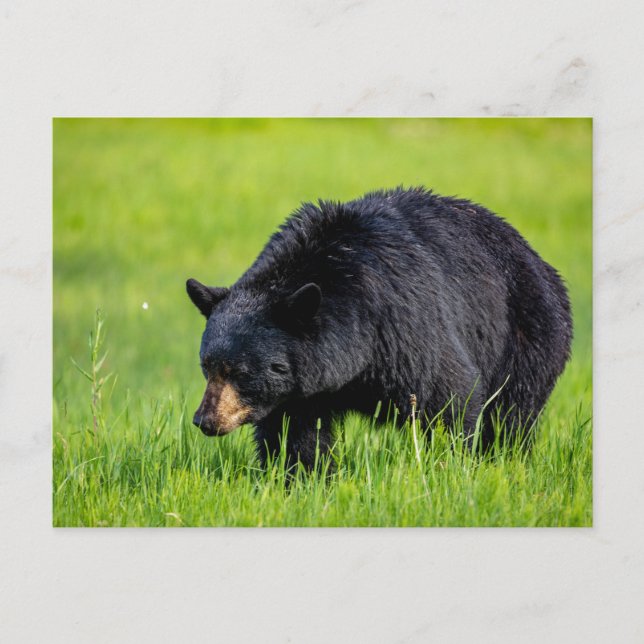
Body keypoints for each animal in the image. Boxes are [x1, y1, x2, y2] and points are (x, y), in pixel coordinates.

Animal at [186, 187, 572, 469]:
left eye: (241, 372)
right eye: (207, 366)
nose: (205, 420)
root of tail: (539, 261)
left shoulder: (405, 323)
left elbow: (448, 395)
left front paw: (446, 465)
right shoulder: (299, 389)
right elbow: (293, 434)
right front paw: (297, 477)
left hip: (527, 332)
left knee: (512, 414)